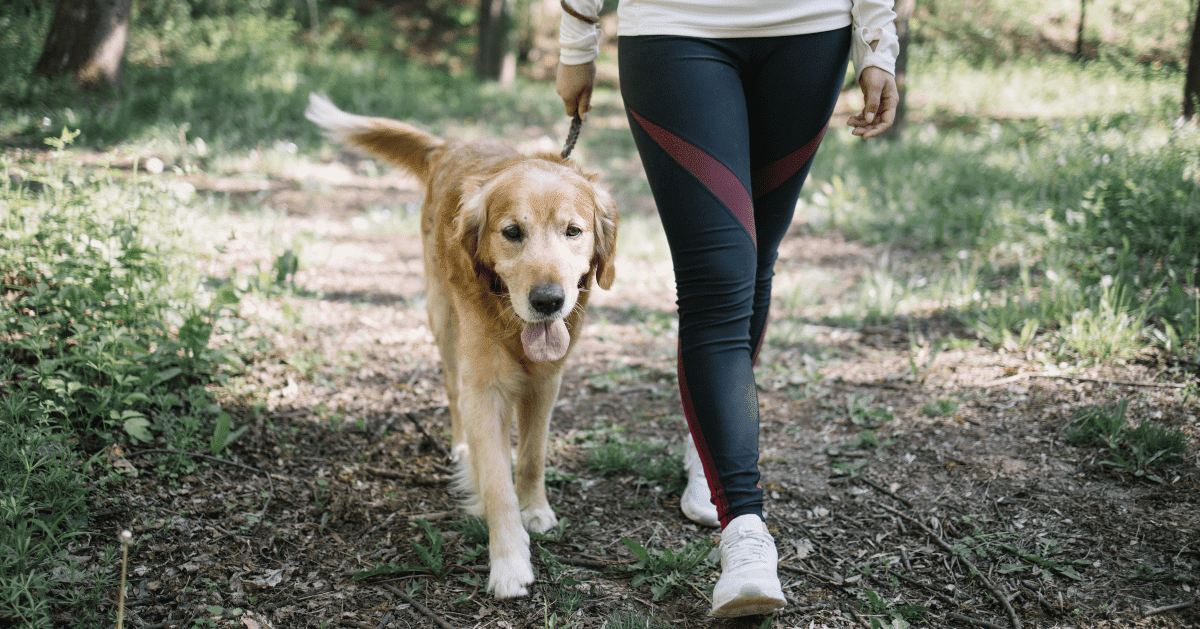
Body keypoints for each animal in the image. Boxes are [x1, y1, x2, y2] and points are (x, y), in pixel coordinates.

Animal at [304, 94, 619, 600]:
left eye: (573, 231)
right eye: (512, 232)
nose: (548, 301)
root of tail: (448, 144)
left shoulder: (546, 381)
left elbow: (531, 457)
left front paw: (536, 509)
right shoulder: (483, 388)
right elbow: (496, 483)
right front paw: (508, 562)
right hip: (443, 321)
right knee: (452, 392)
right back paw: (461, 448)